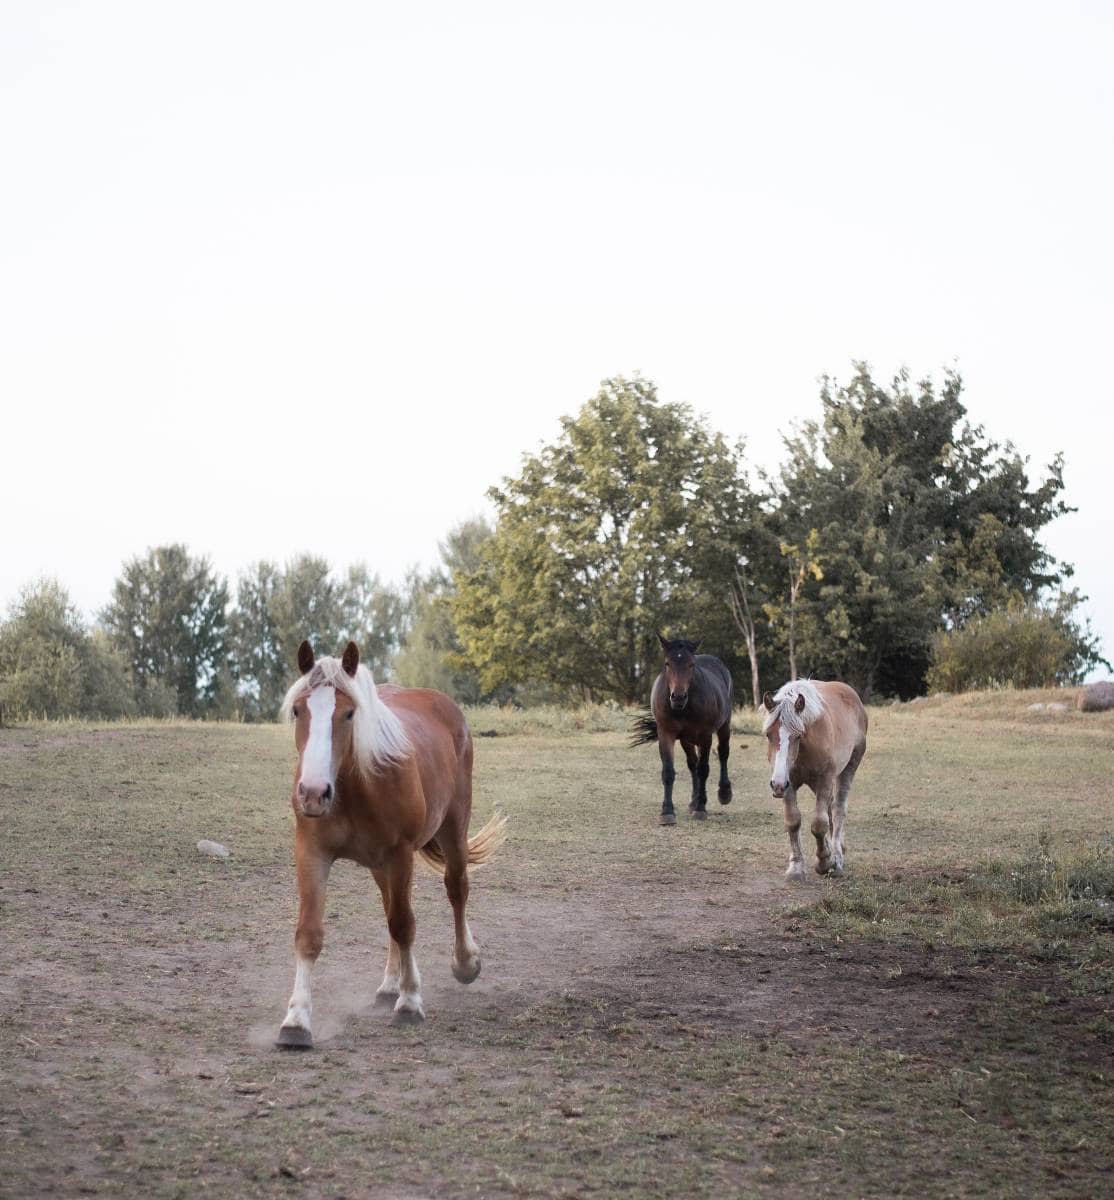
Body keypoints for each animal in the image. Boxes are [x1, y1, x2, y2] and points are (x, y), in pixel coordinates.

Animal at [276, 643, 506, 1046]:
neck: (354, 786)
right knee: (389, 910)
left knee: (456, 889)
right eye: (298, 710)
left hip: (451, 829)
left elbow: (403, 924)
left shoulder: (400, 854)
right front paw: (297, 1019)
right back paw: (388, 985)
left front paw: (410, 1001)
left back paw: (464, 963)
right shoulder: (311, 852)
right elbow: (309, 933)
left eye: (349, 712)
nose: (314, 793)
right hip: (378, 864)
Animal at [629, 638, 734, 825]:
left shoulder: (705, 736)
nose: (678, 697)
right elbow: (669, 772)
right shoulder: (666, 734)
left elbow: (704, 769)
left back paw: (723, 793)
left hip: (723, 726)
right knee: (693, 764)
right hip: (686, 739)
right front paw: (667, 812)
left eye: (691, 665)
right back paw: (694, 801)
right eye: (667, 663)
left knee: (722, 754)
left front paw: (701, 809)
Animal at [763, 686, 864, 883]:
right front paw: (795, 867)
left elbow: (818, 824)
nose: (776, 784)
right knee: (830, 809)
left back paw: (837, 859)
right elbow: (793, 821)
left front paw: (824, 862)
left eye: (797, 736)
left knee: (838, 810)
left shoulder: (825, 779)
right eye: (768, 734)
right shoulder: (789, 783)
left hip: (849, 767)